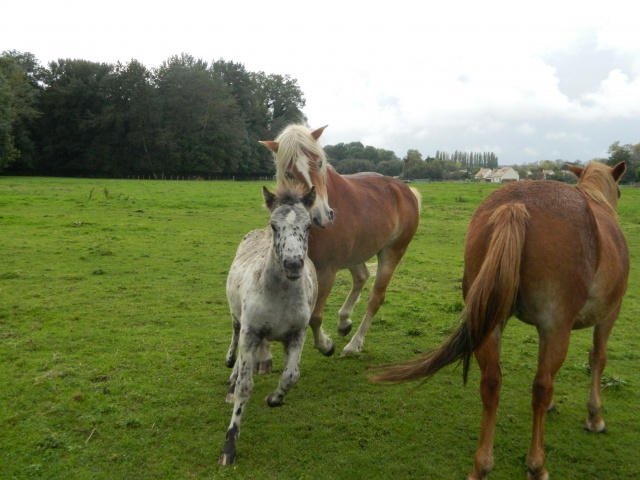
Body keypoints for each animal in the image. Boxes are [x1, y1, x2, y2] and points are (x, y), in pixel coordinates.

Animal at [220, 185, 318, 464]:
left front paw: (274, 399)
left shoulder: (297, 334)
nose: (293, 264)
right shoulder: (251, 331)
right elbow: (244, 385)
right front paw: (229, 444)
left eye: (309, 225)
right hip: (239, 320)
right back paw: (231, 369)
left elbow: (291, 376)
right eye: (274, 225)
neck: (280, 294)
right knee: (236, 338)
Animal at [258, 124, 422, 356]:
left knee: (375, 298)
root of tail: (406, 190)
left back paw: (354, 344)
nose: (322, 216)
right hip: (355, 254)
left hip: (392, 253)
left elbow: (315, 316)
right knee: (361, 277)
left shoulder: (327, 272)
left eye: (319, 163)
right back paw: (344, 322)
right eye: (289, 173)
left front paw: (325, 345)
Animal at [372, 162, 628, 480]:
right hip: (554, 326)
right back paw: (536, 464)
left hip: (490, 323)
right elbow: (598, 358)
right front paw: (595, 416)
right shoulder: (609, 313)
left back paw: (482, 465)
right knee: (541, 386)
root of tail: (516, 205)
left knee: (492, 382)